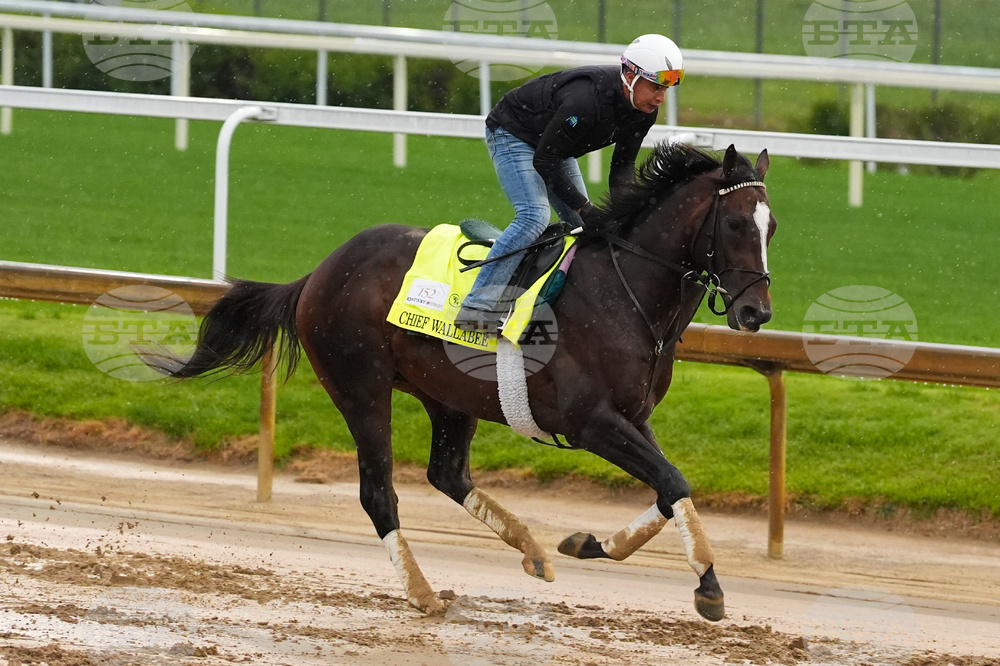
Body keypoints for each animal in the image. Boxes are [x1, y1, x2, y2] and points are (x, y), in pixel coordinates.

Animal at [153, 142, 775, 622]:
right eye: (736, 223)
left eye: (773, 227)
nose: (757, 313)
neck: (624, 294)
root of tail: (318, 272)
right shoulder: (591, 422)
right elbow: (673, 481)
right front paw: (709, 587)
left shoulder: (633, 417)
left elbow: (670, 488)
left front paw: (589, 543)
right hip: (360, 388)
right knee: (379, 492)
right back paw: (423, 593)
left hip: (448, 396)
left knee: (448, 473)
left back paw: (531, 550)